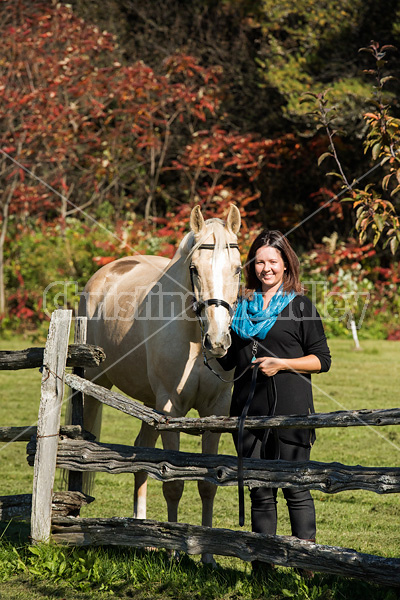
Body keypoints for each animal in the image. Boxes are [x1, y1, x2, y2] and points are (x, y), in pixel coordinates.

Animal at [78, 205, 241, 564]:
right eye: (194, 269)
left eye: (238, 269)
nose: (218, 342)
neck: (193, 337)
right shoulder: (171, 409)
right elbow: (172, 483)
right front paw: (176, 553)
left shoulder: (215, 412)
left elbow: (208, 484)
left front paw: (208, 557)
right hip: (98, 386)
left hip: (149, 406)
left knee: (141, 458)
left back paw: (141, 532)